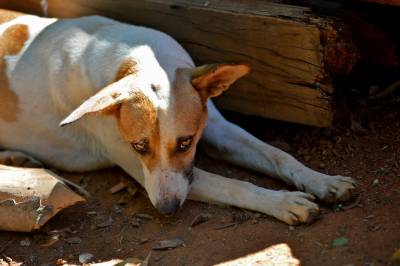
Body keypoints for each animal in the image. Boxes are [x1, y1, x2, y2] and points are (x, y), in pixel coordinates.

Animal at [0, 8, 356, 224]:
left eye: (186, 143)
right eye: (138, 147)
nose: (166, 209)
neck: (135, 61)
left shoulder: (217, 130)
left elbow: (279, 155)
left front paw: (324, 181)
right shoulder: (144, 169)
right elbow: (235, 185)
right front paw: (284, 203)